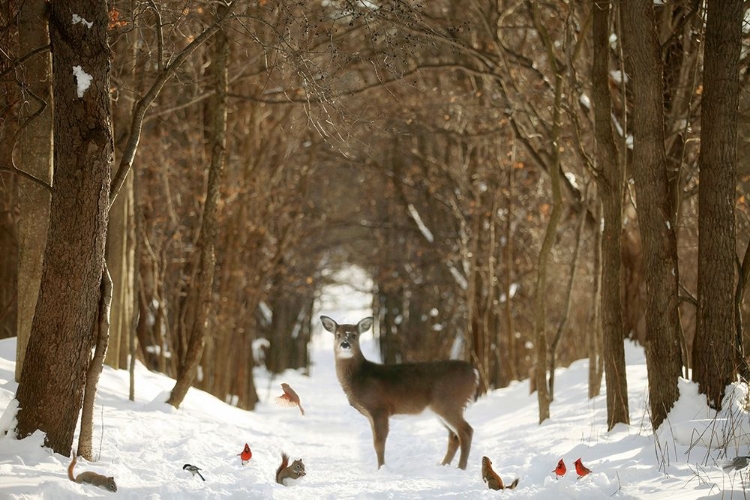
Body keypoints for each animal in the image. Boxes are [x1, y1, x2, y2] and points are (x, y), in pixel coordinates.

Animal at [322, 316, 476, 468]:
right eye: (338, 335)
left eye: (354, 335)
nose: (345, 344)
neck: (360, 377)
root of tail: (474, 372)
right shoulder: (371, 414)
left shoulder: (379, 408)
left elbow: (379, 443)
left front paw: (381, 468)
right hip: (444, 408)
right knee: (454, 436)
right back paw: (443, 465)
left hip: (449, 403)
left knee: (466, 431)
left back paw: (460, 467)